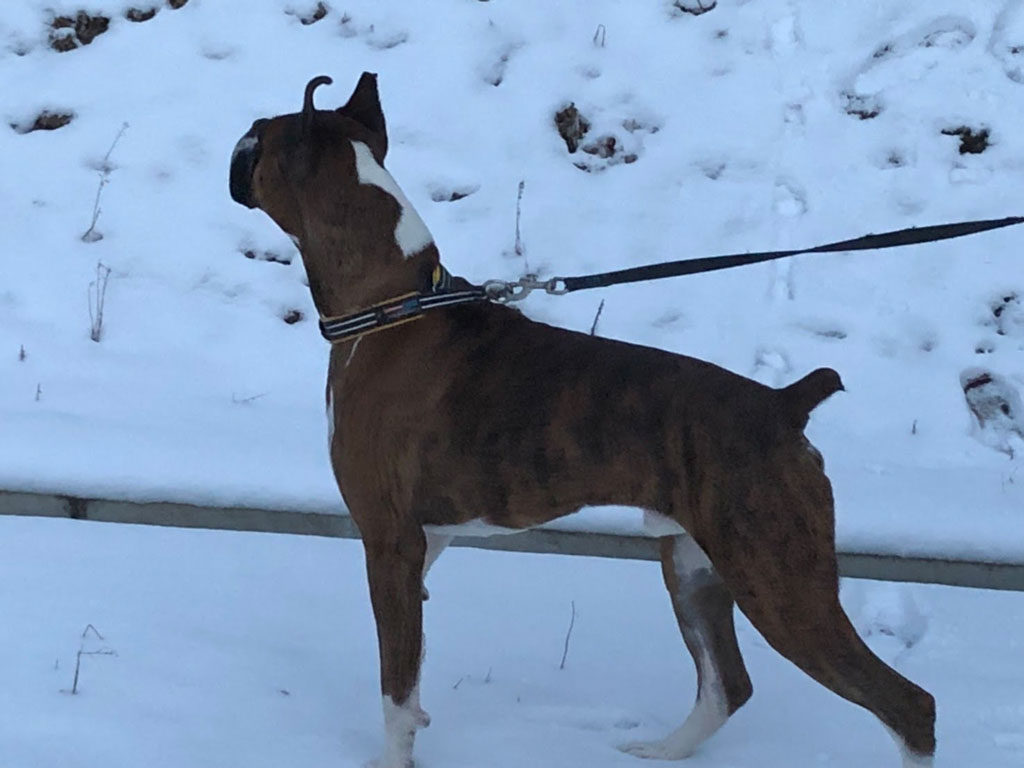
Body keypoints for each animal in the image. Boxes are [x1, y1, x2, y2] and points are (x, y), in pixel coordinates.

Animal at [230, 73, 937, 768]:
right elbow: (409, 673)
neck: (392, 303)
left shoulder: (389, 542)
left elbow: (396, 692)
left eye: (257, 137)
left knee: (908, 705)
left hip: (780, 582)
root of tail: (783, 403)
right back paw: (661, 749)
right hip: (694, 566)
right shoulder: (425, 545)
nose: (236, 143)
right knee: (727, 684)